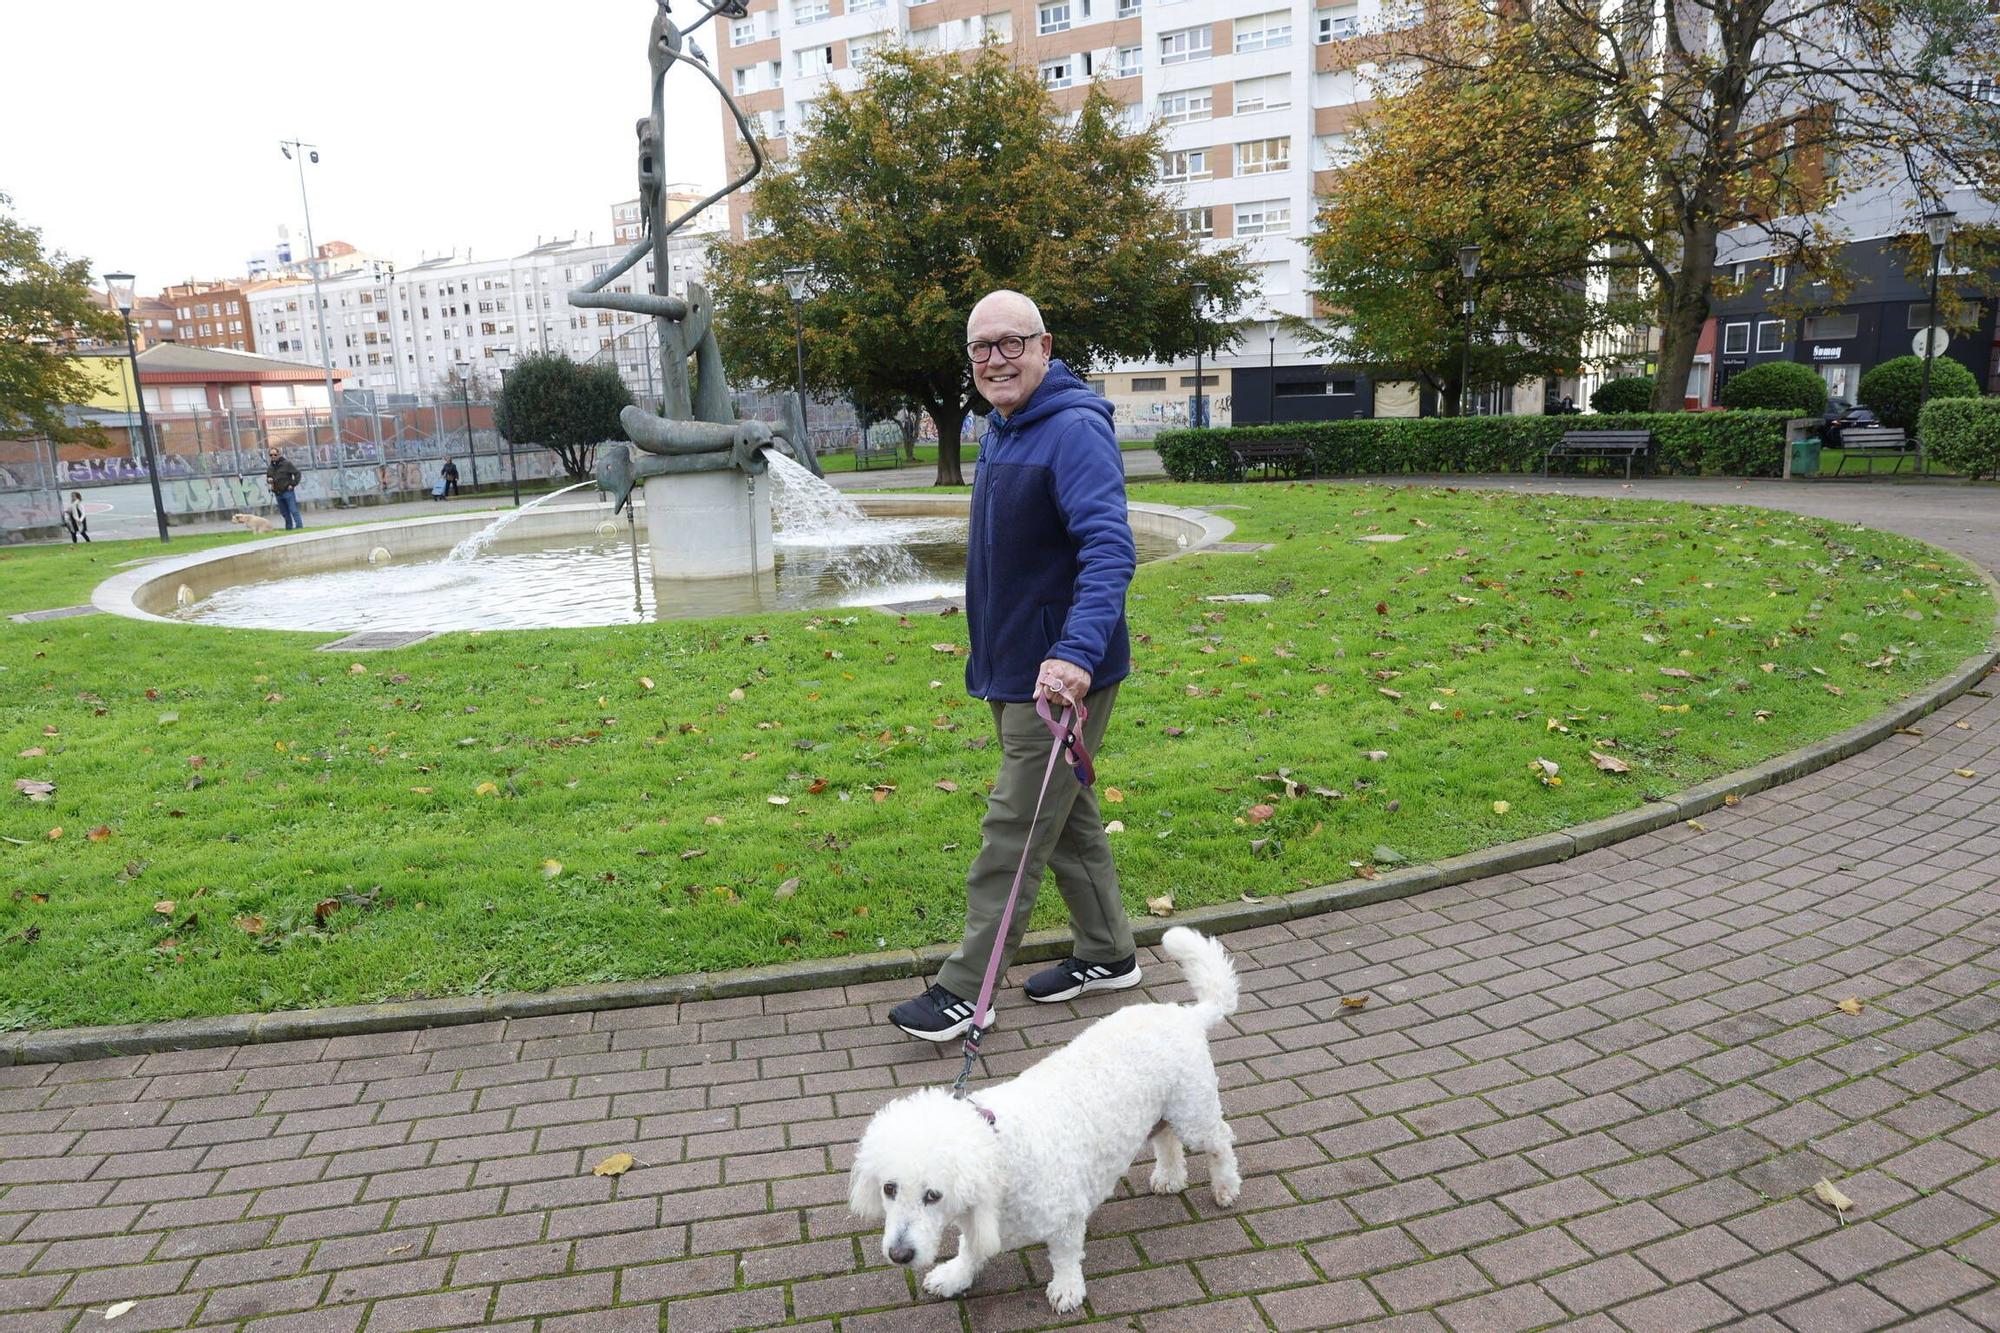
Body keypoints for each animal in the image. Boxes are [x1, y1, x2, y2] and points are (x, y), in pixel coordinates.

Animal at [844, 924, 1232, 1304]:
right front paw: (955, 1276)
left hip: (1193, 1111)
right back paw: (1169, 1177)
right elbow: (970, 1249)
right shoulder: (977, 1218)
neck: (1002, 1153)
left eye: (933, 1195)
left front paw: (1067, 1288)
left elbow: (1064, 1255)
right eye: (889, 1189)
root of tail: (1186, 1015)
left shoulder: (1066, 1217)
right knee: (1166, 1138)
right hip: (1164, 1111)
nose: (899, 1255)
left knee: (1221, 1141)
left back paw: (1226, 1187)